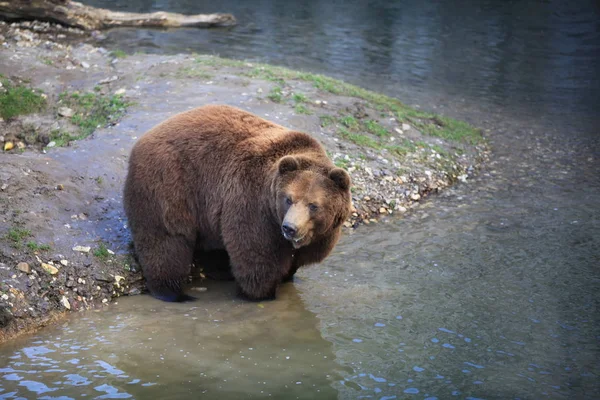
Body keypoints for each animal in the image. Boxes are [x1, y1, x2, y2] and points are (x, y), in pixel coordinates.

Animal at [124, 104, 354, 302]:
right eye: (288, 199)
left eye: (313, 205)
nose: (290, 227)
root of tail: (142, 139)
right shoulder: (254, 205)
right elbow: (256, 258)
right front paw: (261, 294)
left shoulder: (320, 236)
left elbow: (295, 260)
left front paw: (289, 276)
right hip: (169, 184)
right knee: (166, 240)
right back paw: (173, 292)